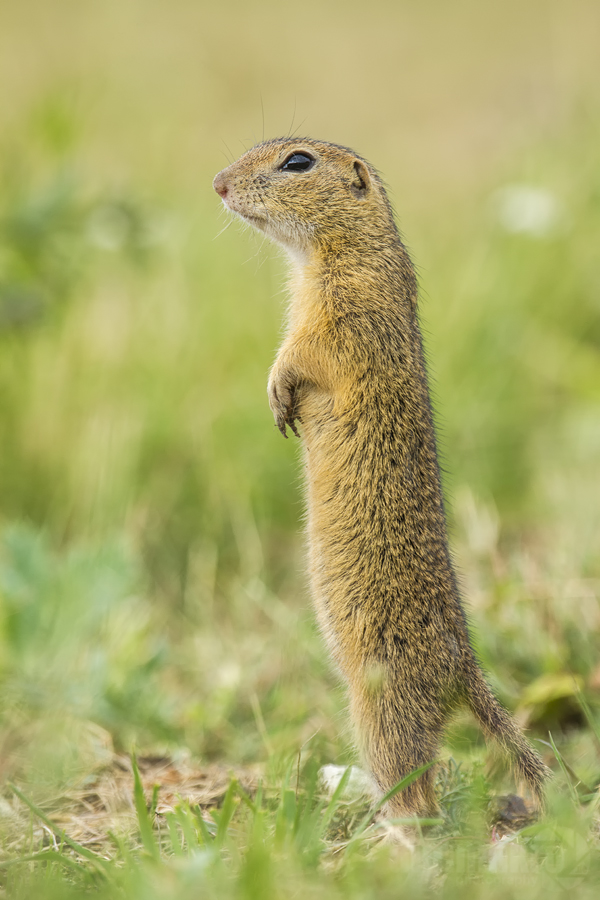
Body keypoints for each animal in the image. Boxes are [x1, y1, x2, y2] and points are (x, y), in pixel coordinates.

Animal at [212, 137, 548, 820]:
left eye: (297, 162)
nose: (218, 184)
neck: (334, 251)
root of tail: (464, 670)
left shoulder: (345, 312)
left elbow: (305, 352)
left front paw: (277, 390)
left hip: (380, 707)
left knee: (417, 789)